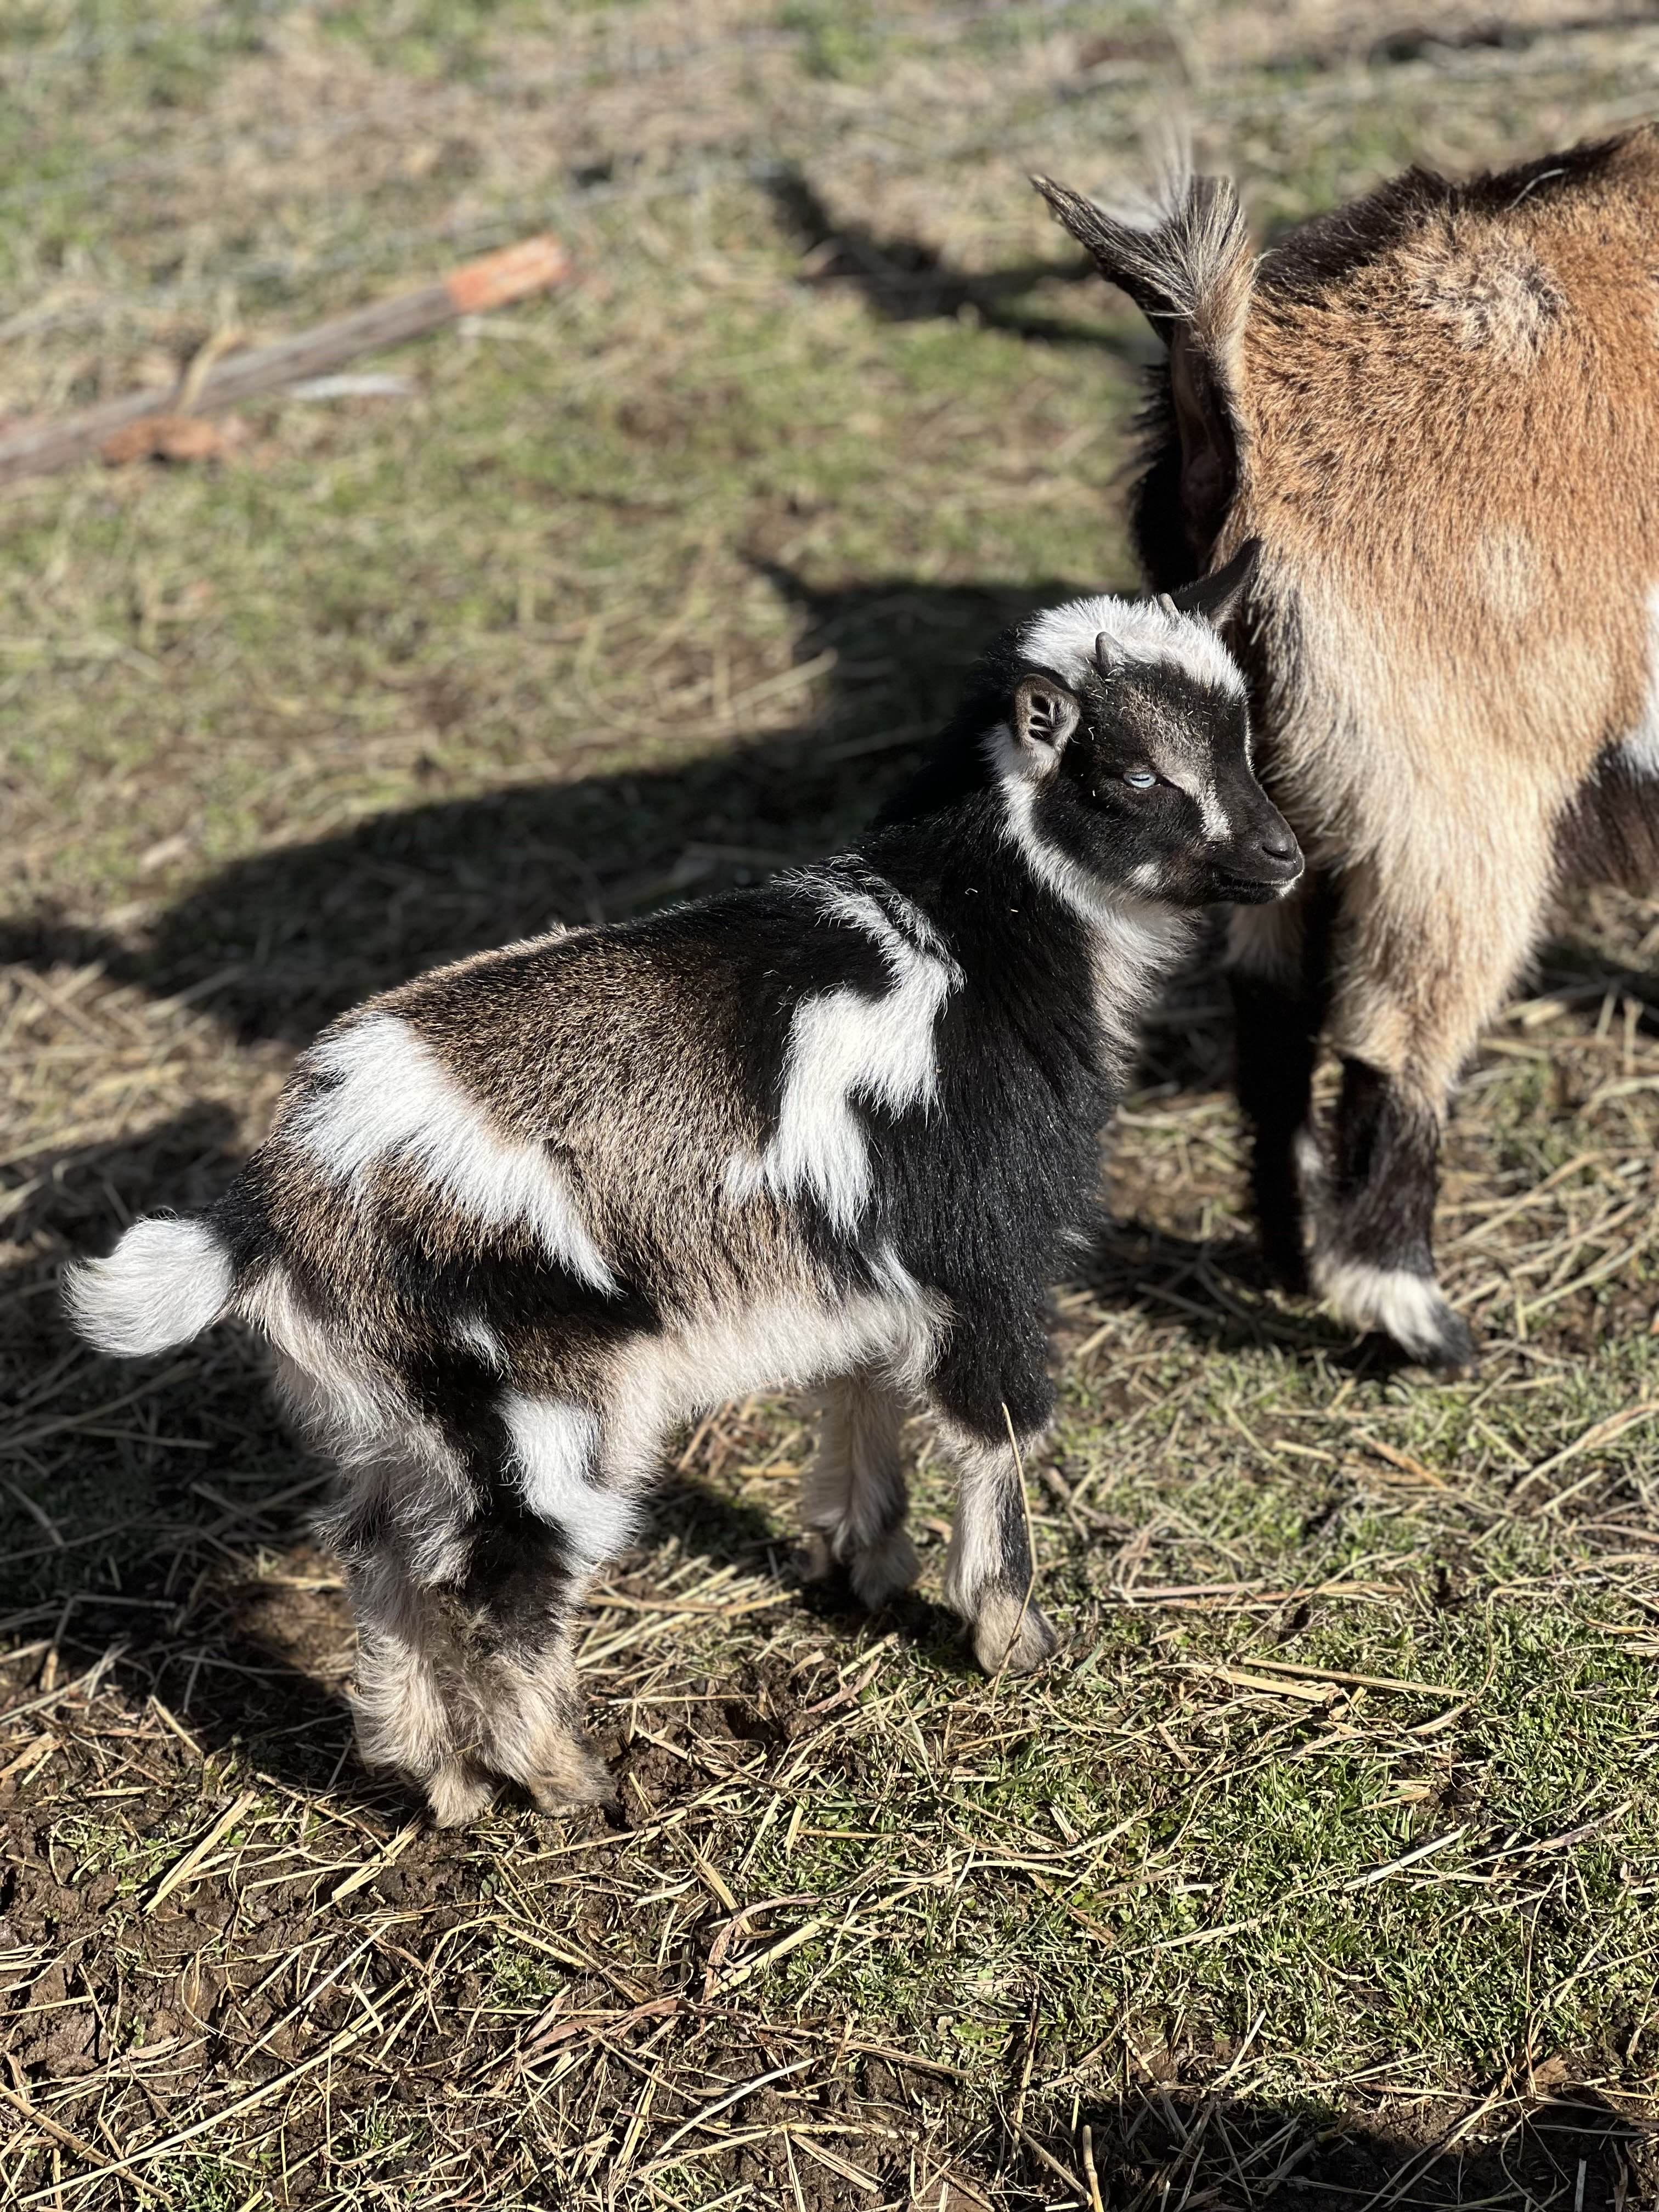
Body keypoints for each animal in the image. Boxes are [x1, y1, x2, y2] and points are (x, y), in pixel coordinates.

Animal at [66, 555, 1299, 1824]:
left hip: (391, 1413)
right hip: (536, 1413)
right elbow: (997, 1431)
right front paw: (1011, 1637)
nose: (1281, 859)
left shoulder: (859, 1250)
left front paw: (862, 1560)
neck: (975, 936)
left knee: (380, 1558)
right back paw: (564, 1777)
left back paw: (440, 1778)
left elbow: (859, 1384)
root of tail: (274, 1204)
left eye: (1246, 734)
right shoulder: (984, 1251)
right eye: (1136, 772)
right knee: (503, 1583)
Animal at [1037, 129, 1659, 1366]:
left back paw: (1288, 1247)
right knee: (1398, 1023)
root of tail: (1245, 405)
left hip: (1281, 780)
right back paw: (1408, 1312)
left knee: (1272, 994)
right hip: (1456, 790)